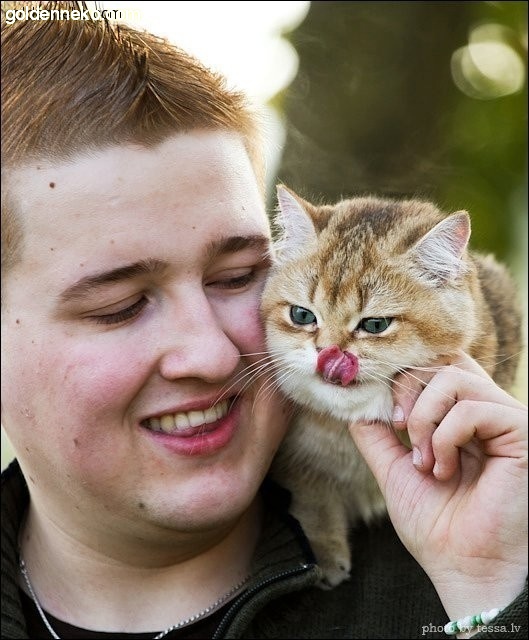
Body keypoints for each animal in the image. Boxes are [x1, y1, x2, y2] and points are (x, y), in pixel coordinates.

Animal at [258, 182, 520, 588]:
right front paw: (323, 551)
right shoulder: (298, 467)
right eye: (302, 315)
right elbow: (312, 495)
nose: (327, 353)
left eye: (376, 325)